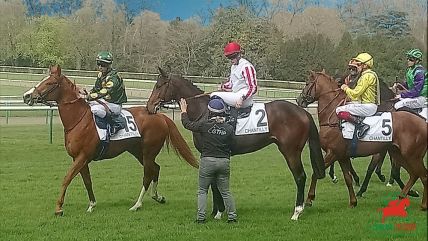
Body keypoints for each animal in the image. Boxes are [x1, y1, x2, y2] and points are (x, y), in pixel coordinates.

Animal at [21, 65, 199, 216]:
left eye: (50, 83)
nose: (27, 96)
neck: (78, 120)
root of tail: (159, 115)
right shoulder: (79, 158)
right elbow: (87, 181)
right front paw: (91, 205)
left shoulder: (82, 157)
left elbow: (66, 178)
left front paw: (59, 208)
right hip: (138, 151)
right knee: (156, 168)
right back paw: (157, 197)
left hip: (148, 151)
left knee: (148, 174)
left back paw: (137, 204)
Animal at [145, 68, 326, 220]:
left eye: (159, 85)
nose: (149, 107)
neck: (204, 110)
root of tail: (302, 111)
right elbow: (215, 182)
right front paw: (216, 211)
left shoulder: (208, 152)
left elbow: (213, 183)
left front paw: (218, 212)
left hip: (291, 151)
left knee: (300, 176)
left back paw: (297, 211)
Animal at [296, 70, 426, 210]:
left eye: (307, 83)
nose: (299, 100)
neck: (333, 119)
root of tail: (422, 122)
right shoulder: (342, 156)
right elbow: (348, 178)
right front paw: (353, 201)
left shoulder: (333, 153)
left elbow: (316, 172)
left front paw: (309, 199)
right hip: (400, 154)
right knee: (414, 174)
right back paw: (403, 196)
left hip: (412, 156)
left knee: (423, 175)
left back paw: (422, 204)